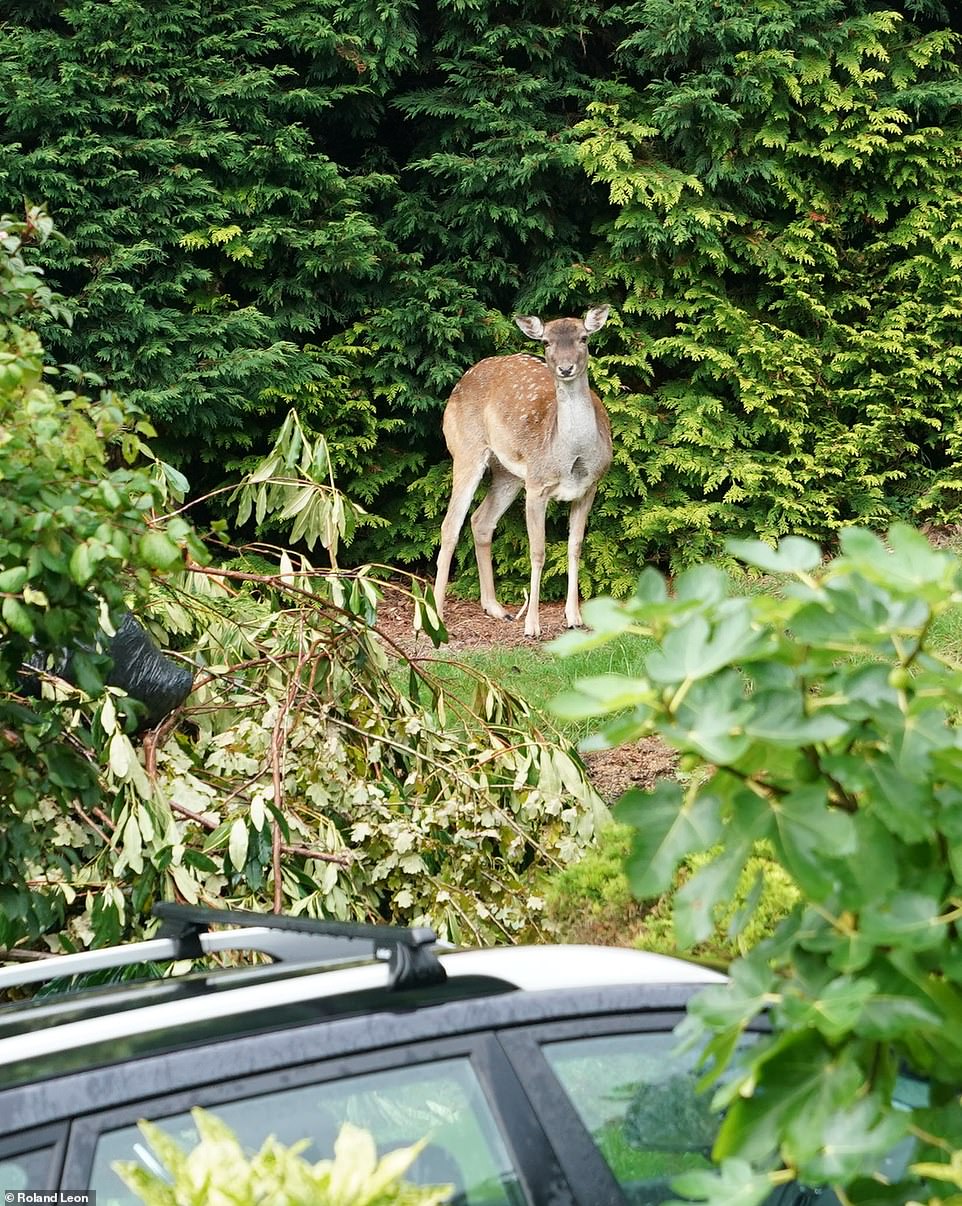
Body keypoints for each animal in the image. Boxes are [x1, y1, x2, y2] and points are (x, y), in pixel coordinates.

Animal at [433, 306, 609, 636]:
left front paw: (574, 617)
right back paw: (433, 617)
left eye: (583, 337)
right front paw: (532, 626)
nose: (565, 368)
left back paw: (495, 607)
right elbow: (538, 552)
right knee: (450, 525)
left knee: (481, 520)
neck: (572, 457)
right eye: (546, 342)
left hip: (508, 474)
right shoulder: (537, 486)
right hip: (465, 450)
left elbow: (575, 547)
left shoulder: (589, 487)